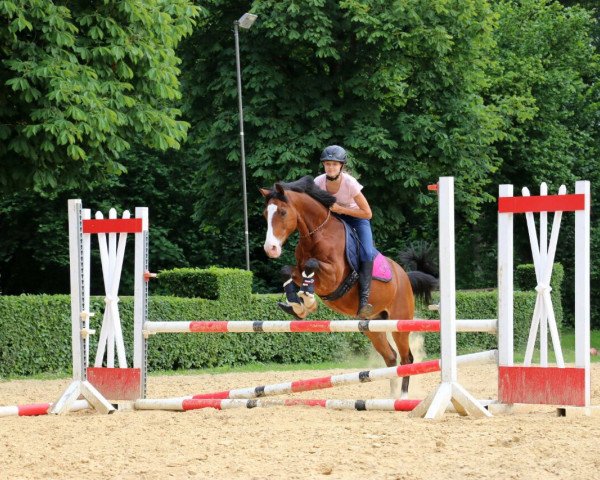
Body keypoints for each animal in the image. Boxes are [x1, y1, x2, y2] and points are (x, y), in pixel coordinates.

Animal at [258, 175, 436, 398]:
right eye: (265, 214)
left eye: (282, 212)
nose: (270, 249)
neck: (317, 233)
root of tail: (404, 276)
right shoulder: (299, 270)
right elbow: (287, 271)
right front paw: (297, 305)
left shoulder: (334, 277)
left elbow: (311, 265)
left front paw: (308, 299)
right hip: (373, 326)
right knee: (391, 357)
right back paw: (392, 396)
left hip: (399, 324)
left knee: (406, 359)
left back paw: (403, 396)